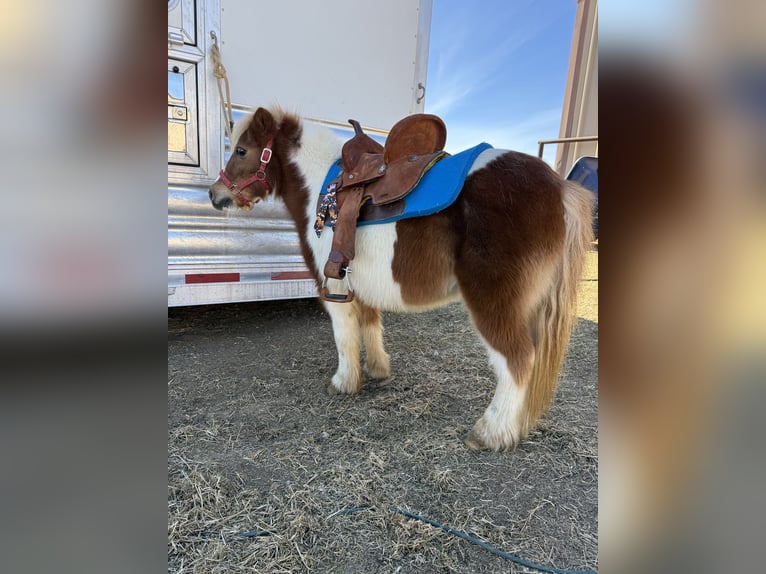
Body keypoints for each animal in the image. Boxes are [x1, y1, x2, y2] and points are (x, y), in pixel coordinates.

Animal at [208, 106, 593, 451]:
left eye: (241, 150)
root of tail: (559, 186)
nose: (214, 194)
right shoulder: (358, 285)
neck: (322, 186)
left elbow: (344, 336)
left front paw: (343, 382)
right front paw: (377, 370)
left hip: (494, 303)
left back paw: (491, 433)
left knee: (517, 360)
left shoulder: (333, 288)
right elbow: (369, 325)